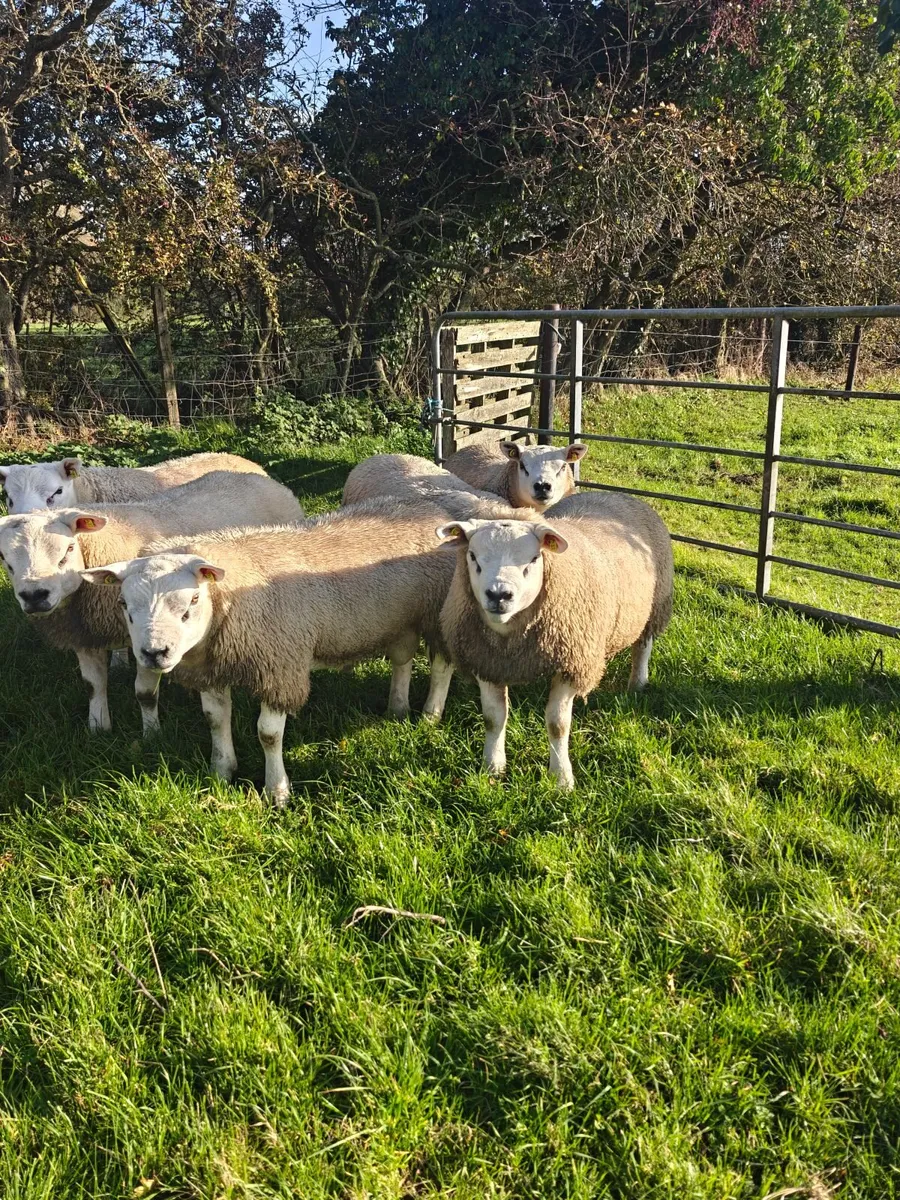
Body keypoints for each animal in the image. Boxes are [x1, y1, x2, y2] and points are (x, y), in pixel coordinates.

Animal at [0, 471, 302, 734]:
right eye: (4, 559)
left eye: (68, 550)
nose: (35, 596)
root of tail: (257, 477)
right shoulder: (85, 633)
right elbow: (92, 685)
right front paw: (97, 729)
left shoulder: (145, 636)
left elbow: (144, 693)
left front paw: (152, 735)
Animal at [79, 497, 467, 804]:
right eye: (123, 603)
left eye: (192, 601)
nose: (153, 653)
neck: (232, 598)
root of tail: (431, 511)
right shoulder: (212, 668)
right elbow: (215, 718)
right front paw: (221, 771)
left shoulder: (280, 666)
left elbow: (268, 734)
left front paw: (276, 791)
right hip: (401, 618)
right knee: (402, 659)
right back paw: (397, 709)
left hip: (438, 610)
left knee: (442, 665)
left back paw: (430, 714)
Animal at [435, 489, 673, 791]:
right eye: (473, 556)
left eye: (534, 559)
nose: (499, 595)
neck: (510, 639)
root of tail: (616, 494)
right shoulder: (487, 661)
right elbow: (493, 718)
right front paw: (492, 768)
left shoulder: (571, 663)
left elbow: (557, 725)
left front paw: (561, 778)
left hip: (654, 605)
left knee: (643, 645)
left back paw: (638, 682)